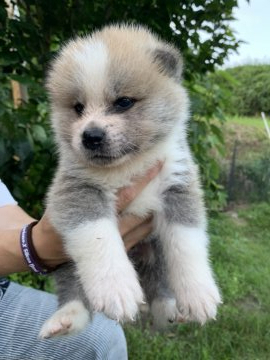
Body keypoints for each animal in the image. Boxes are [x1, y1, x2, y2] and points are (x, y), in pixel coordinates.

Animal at [39, 24, 221, 338]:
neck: (129, 167)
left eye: (123, 102)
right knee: (72, 286)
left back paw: (170, 310)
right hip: (62, 256)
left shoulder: (179, 184)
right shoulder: (76, 190)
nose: (91, 136)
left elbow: (187, 243)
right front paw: (116, 288)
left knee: (160, 280)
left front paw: (199, 294)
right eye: (78, 108)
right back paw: (66, 319)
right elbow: (98, 237)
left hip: (155, 248)